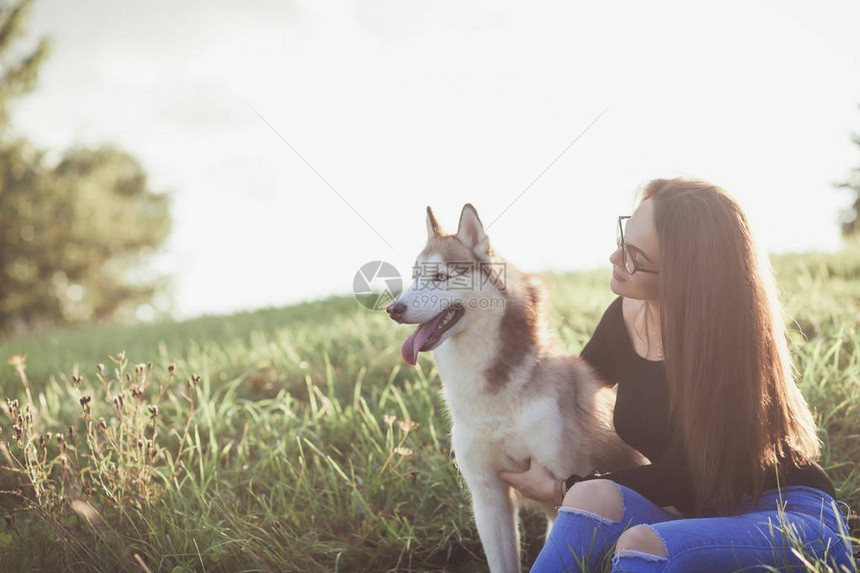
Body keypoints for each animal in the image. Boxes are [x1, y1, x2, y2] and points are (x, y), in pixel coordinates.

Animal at [386, 203, 640, 568]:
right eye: (415, 277)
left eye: (440, 277)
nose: (392, 308)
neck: (493, 396)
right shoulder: (487, 495)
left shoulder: (562, 484)